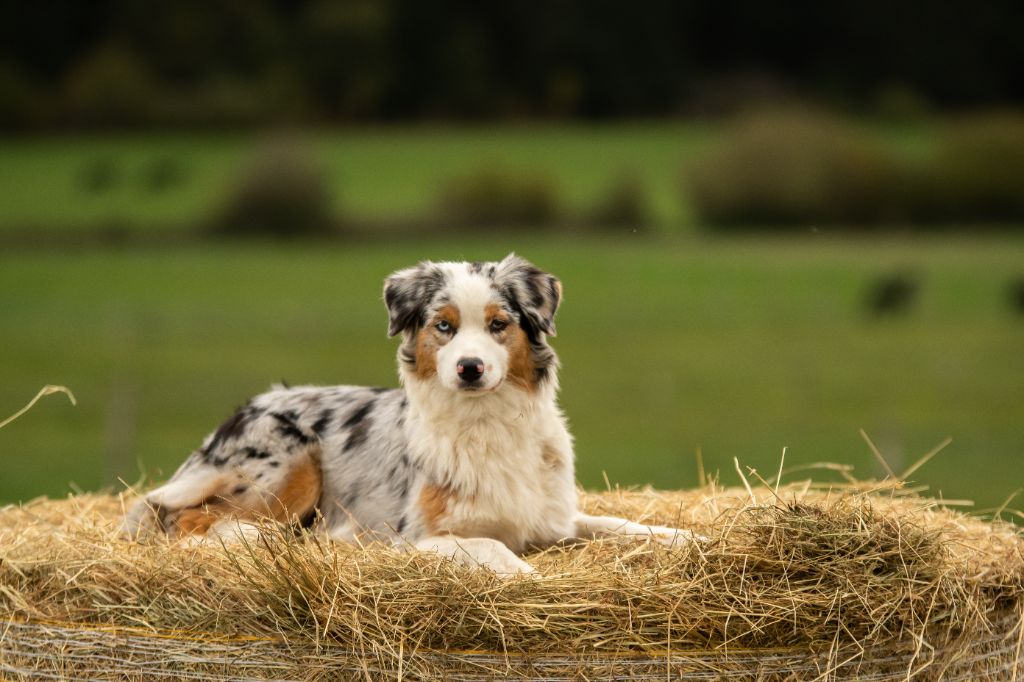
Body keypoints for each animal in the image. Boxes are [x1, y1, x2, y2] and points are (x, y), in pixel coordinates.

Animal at [119, 251, 696, 569]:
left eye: (498, 325)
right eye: (443, 326)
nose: (469, 368)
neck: (486, 422)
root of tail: (253, 404)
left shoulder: (554, 519)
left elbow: (623, 524)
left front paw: (690, 538)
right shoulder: (418, 537)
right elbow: (494, 550)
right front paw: (528, 578)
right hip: (290, 465)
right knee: (187, 519)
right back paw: (250, 539)